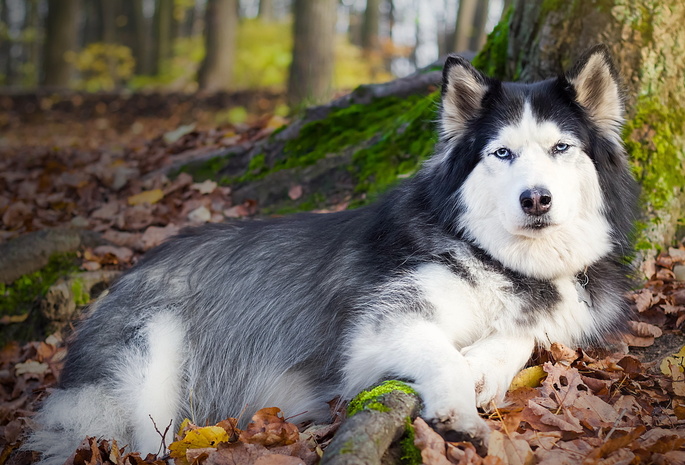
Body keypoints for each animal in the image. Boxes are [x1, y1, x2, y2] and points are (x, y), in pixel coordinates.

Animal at [26, 44, 636, 464]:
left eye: (561, 148)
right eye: (502, 153)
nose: (536, 199)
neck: (500, 259)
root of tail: (124, 276)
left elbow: (523, 336)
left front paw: (484, 365)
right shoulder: (377, 329)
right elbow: (440, 352)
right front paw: (461, 408)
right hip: (145, 366)